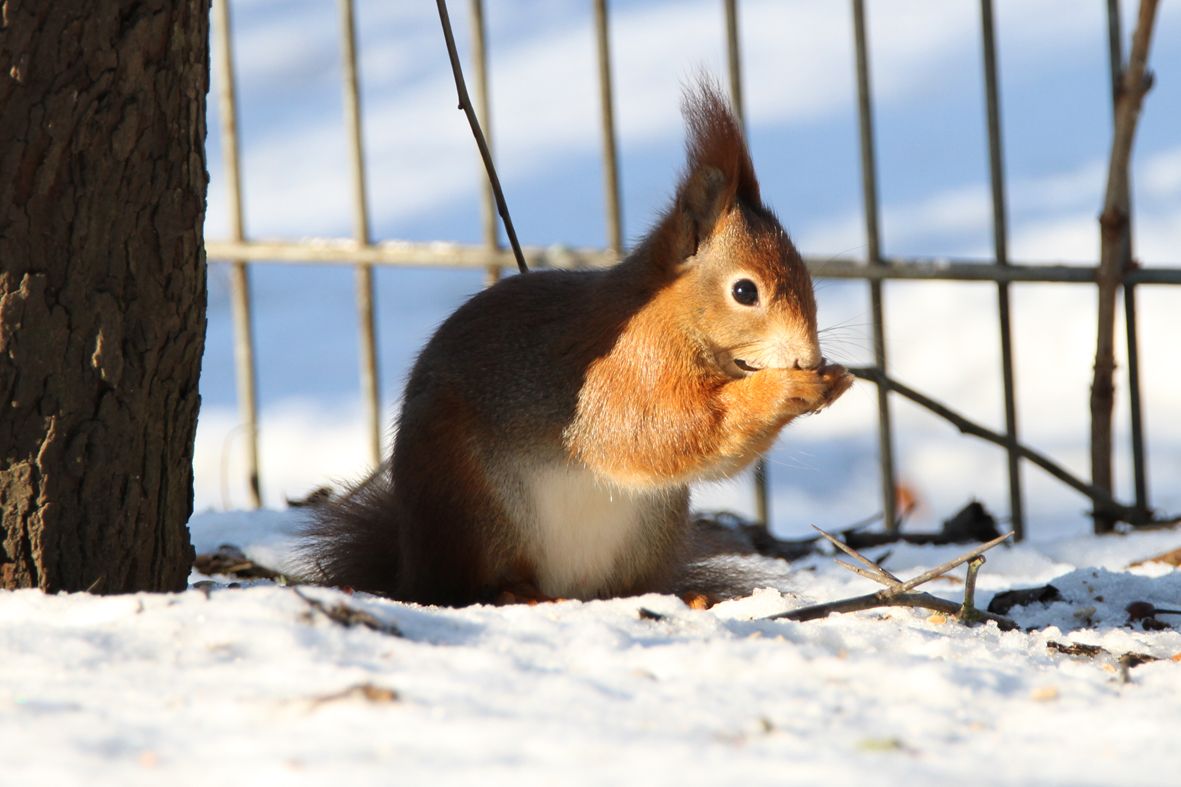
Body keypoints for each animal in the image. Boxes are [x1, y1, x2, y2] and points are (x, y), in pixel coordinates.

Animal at [298, 80, 852, 606]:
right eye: (744, 291)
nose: (808, 356)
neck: (667, 317)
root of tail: (410, 567)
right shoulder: (624, 373)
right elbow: (660, 432)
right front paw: (785, 389)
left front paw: (834, 379)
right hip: (473, 509)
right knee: (466, 584)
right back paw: (513, 593)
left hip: (650, 528)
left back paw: (684, 596)